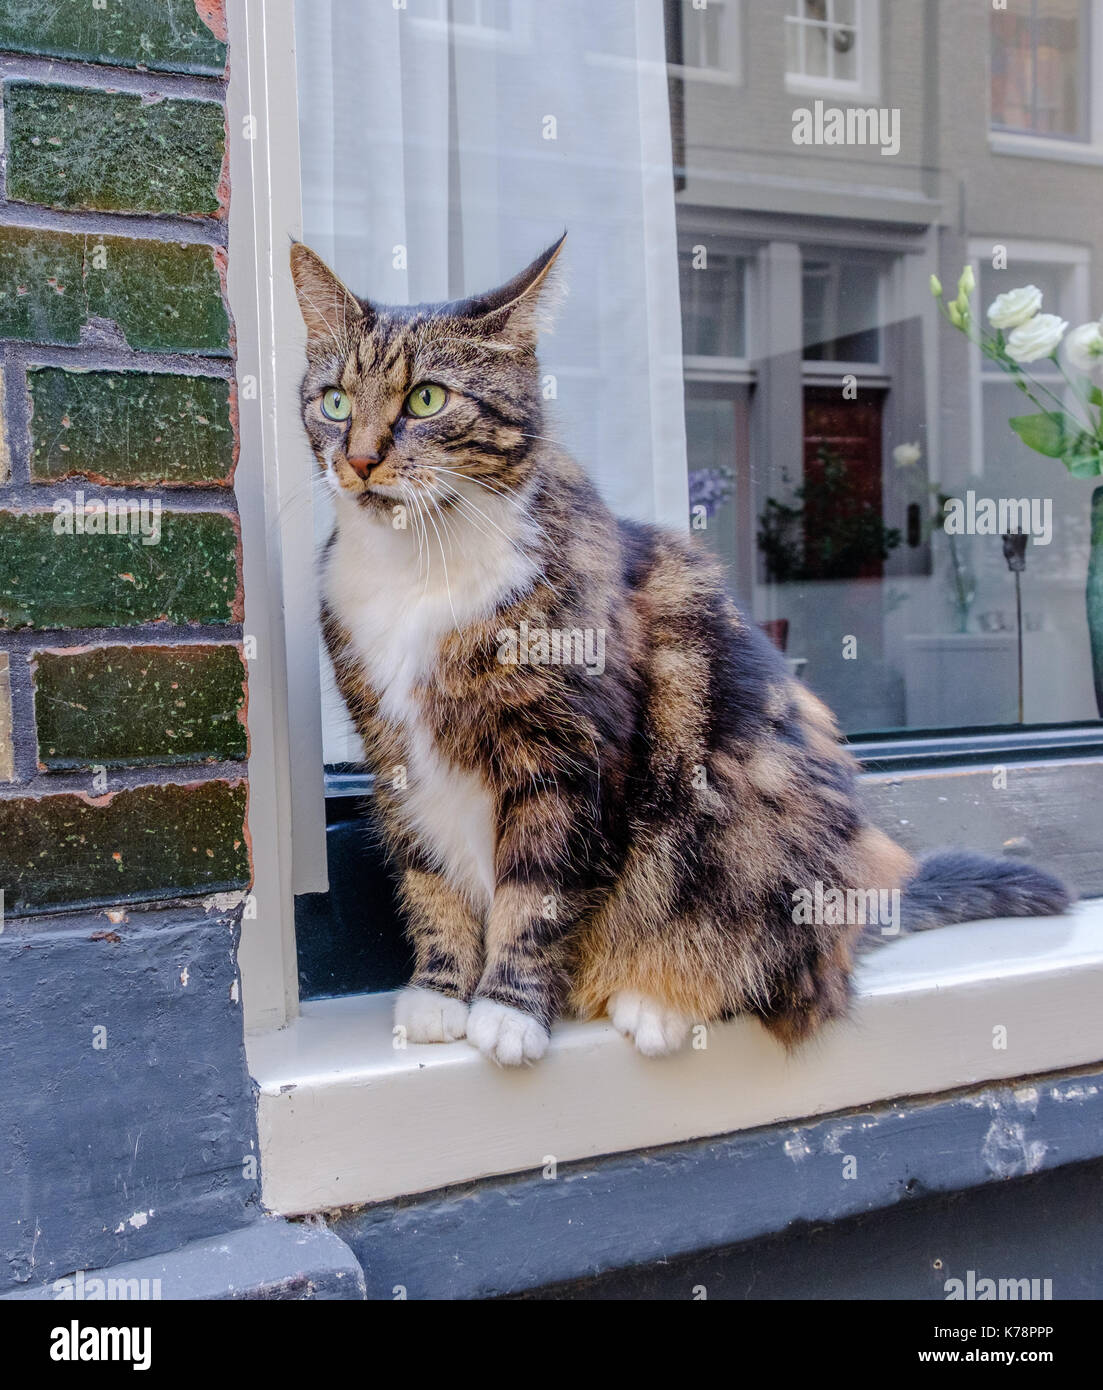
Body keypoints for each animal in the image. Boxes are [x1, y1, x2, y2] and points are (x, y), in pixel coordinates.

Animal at [287, 236, 1072, 1061]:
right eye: (335, 401)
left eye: (426, 400)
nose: (359, 460)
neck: (418, 570)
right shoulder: (394, 752)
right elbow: (428, 877)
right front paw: (440, 992)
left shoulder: (569, 753)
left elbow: (536, 892)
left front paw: (506, 1010)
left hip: (757, 838)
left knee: (771, 969)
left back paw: (656, 1003)